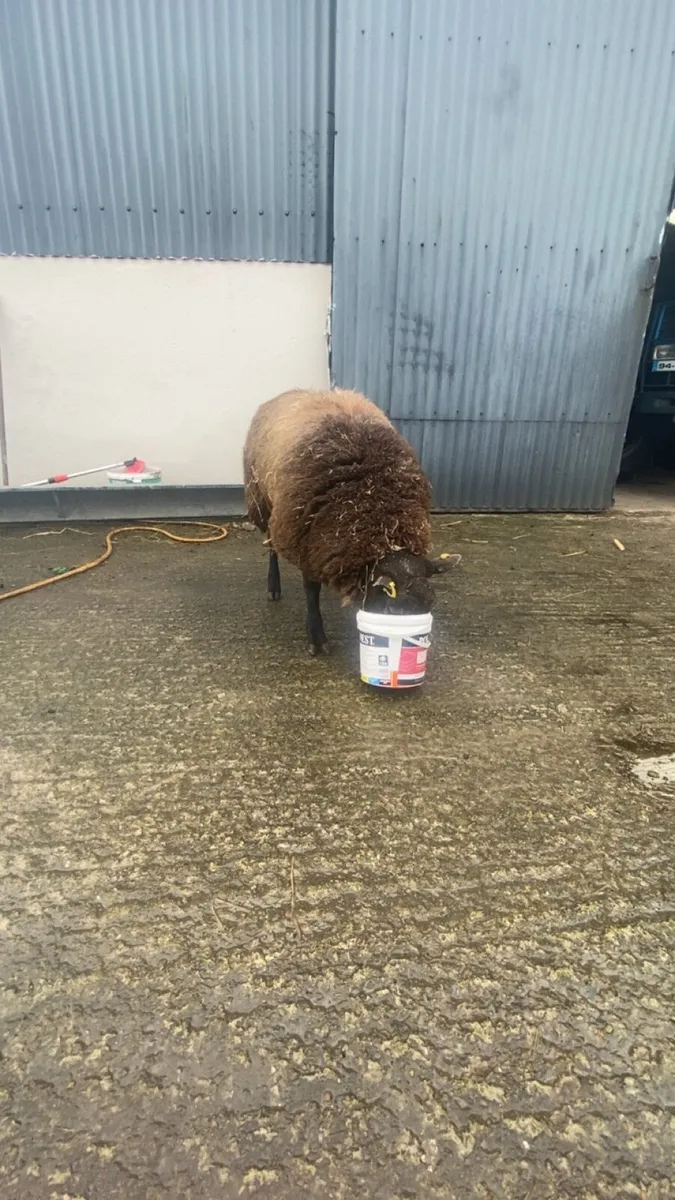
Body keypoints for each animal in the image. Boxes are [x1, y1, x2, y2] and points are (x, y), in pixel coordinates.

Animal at [243, 388, 459, 653]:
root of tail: (292, 391)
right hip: (262, 500)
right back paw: (273, 587)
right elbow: (311, 590)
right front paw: (317, 637)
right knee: (271, 544)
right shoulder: (306, 538)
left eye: (429, 606)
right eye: (393, 610)